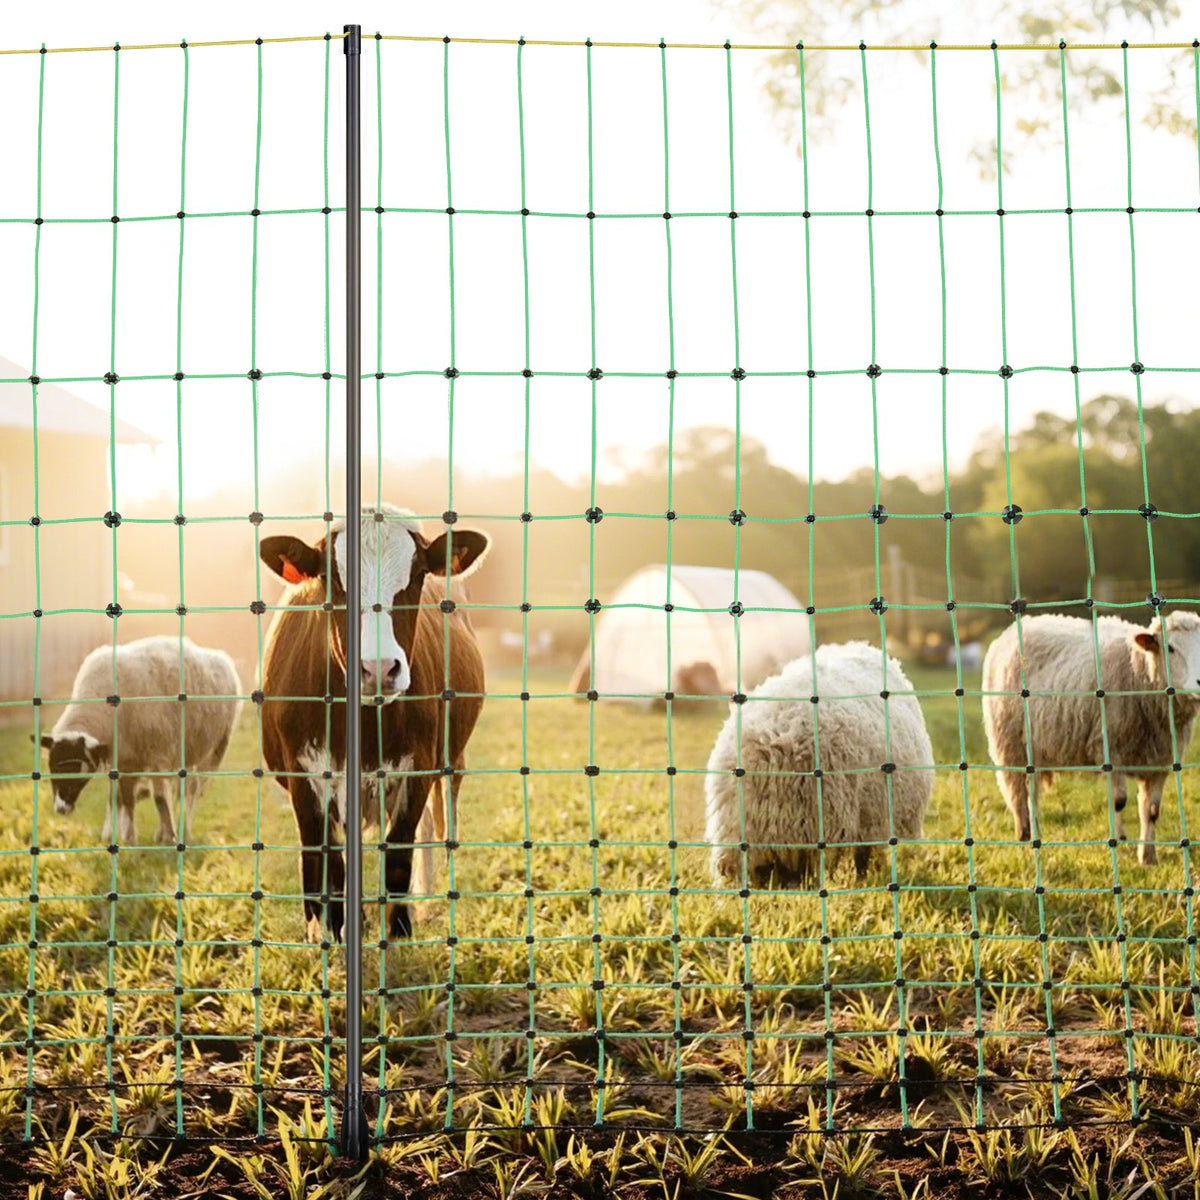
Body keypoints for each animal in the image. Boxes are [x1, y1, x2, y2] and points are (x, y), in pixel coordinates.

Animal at [35, 635, 242, 844]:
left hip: (215, 748)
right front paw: (122, 836)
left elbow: (157, 799)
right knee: (178, 788)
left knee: (192, 790)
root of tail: (223, 659)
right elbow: (120, 799)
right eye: (52, 767)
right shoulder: (123, 758)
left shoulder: (156, 755)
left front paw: (160, 836)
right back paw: (164, 831)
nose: (61, 809)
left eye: (78, 768)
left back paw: (183, 831)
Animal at [981, 611, 1200, 864]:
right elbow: (1118, 801)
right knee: (1023, 794)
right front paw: (1119, 845)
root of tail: (1013, 629)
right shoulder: (1110, 748)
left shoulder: (1160, 761)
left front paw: (1148, 858)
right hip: (1012, 745)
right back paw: (1027, 835)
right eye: (1170, 648)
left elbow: (1152, 811)